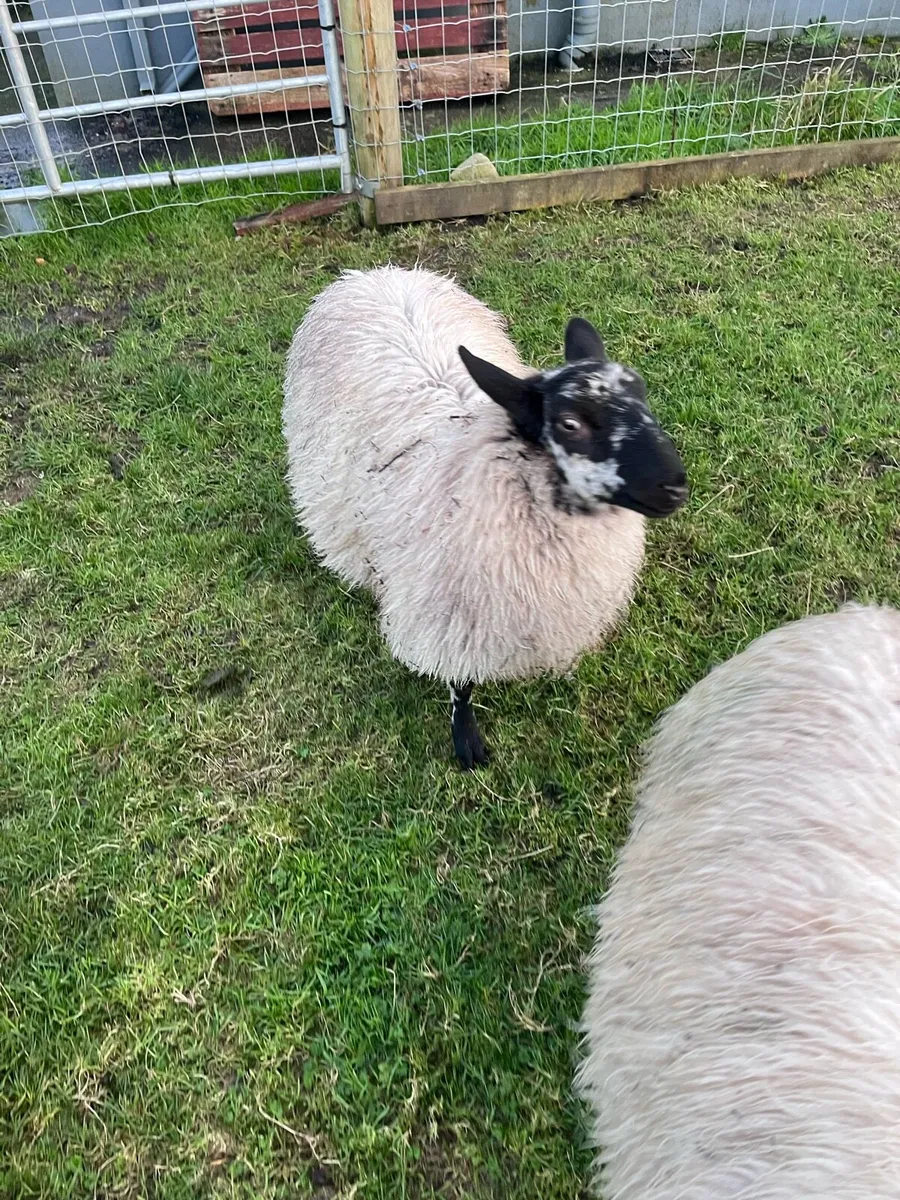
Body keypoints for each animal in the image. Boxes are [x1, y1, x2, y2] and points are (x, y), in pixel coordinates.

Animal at [283, 266, 687, 768]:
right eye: (570, 424)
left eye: (642, 394)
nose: (675, 485)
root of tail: (372, 275)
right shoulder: (453, 618)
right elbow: (461, 685)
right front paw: (467, 743)